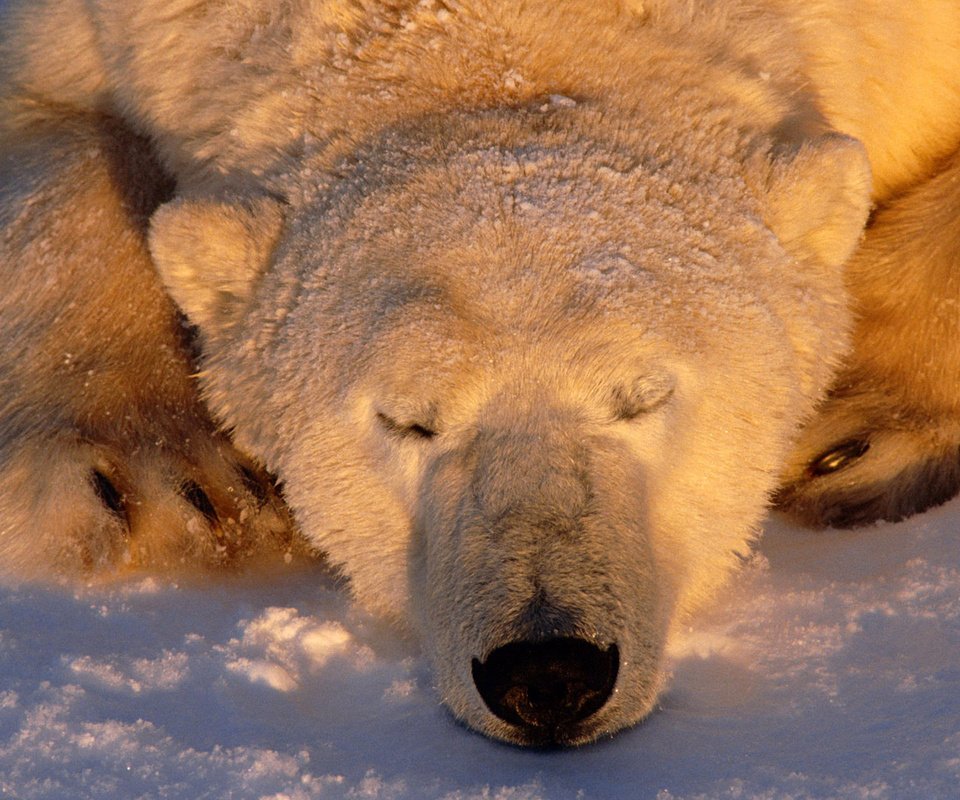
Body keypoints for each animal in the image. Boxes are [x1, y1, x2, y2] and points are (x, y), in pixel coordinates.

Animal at [1, 0, 960, 748]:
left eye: (644, 397)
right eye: (407, 420)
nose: (550, 671)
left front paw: (857, 432)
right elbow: (53, 126)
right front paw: (163, 487)